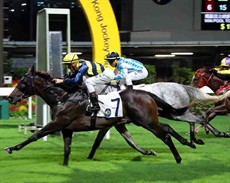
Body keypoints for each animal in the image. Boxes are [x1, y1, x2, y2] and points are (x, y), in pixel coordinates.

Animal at [4, 66, 196, 164]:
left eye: (22, 82)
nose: (10, 97)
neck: (63, 97)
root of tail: (147, 93)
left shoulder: (59, 122)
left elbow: (35, 135)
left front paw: (11, 148)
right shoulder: (67, 129)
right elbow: (67, 150)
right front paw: (65, 165)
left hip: (147, 122)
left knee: (165, 134)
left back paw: (179, 157)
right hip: (137, 121)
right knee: (164, 128)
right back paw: (188, 143)